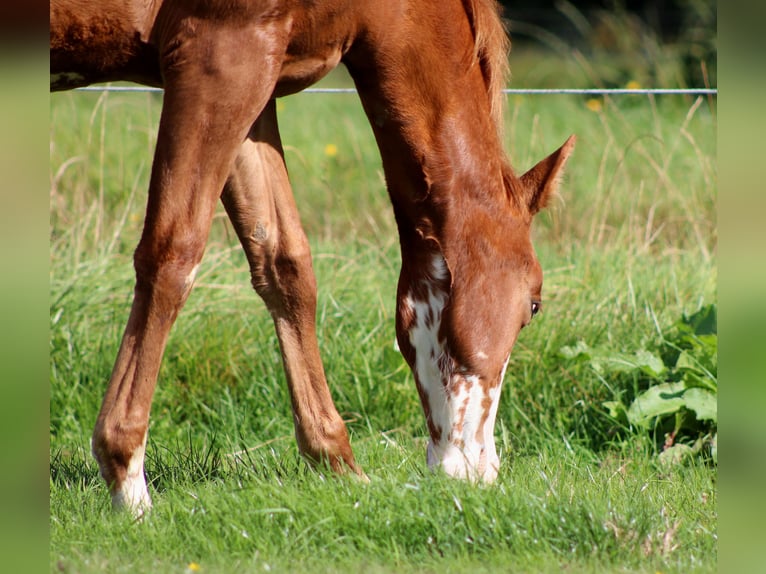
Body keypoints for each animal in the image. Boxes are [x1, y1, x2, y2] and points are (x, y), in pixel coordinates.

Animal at [50, 0, 575, 517]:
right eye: (534, 306)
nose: (480, 472)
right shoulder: (218, 57)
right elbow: (174, 252)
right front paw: (127, 480)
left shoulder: (256, 81)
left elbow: (284, 263)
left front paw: (338, 464)